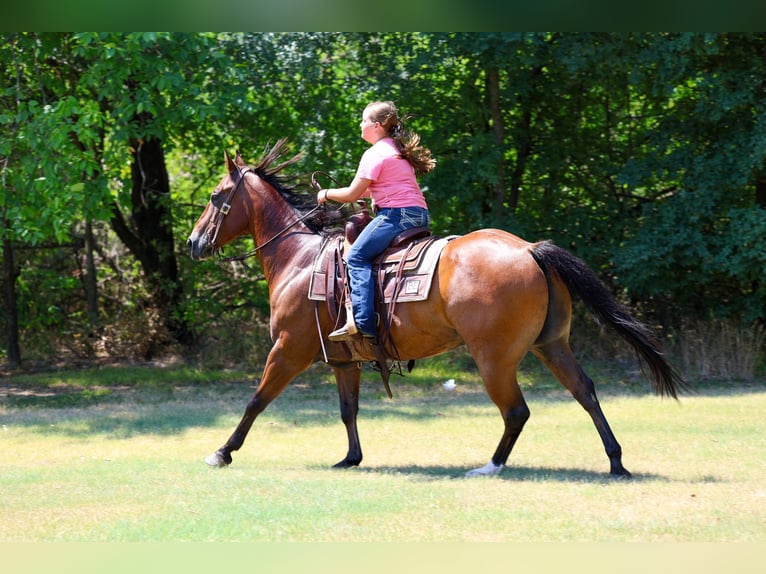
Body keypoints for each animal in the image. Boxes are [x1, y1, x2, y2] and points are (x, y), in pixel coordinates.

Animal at [187, 139, 685, 478]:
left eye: (215, 196)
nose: (192, 243)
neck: (299, 260)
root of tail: (528, 249)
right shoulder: (343, 360)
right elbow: (348, 410)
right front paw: (351, 458)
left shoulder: (288, 349)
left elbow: (256, 399)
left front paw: (222, 451)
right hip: (552, 345)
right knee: (585, 392)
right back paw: (616, 461)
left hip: (494, 357)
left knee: (516, 411)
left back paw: (490, 466)